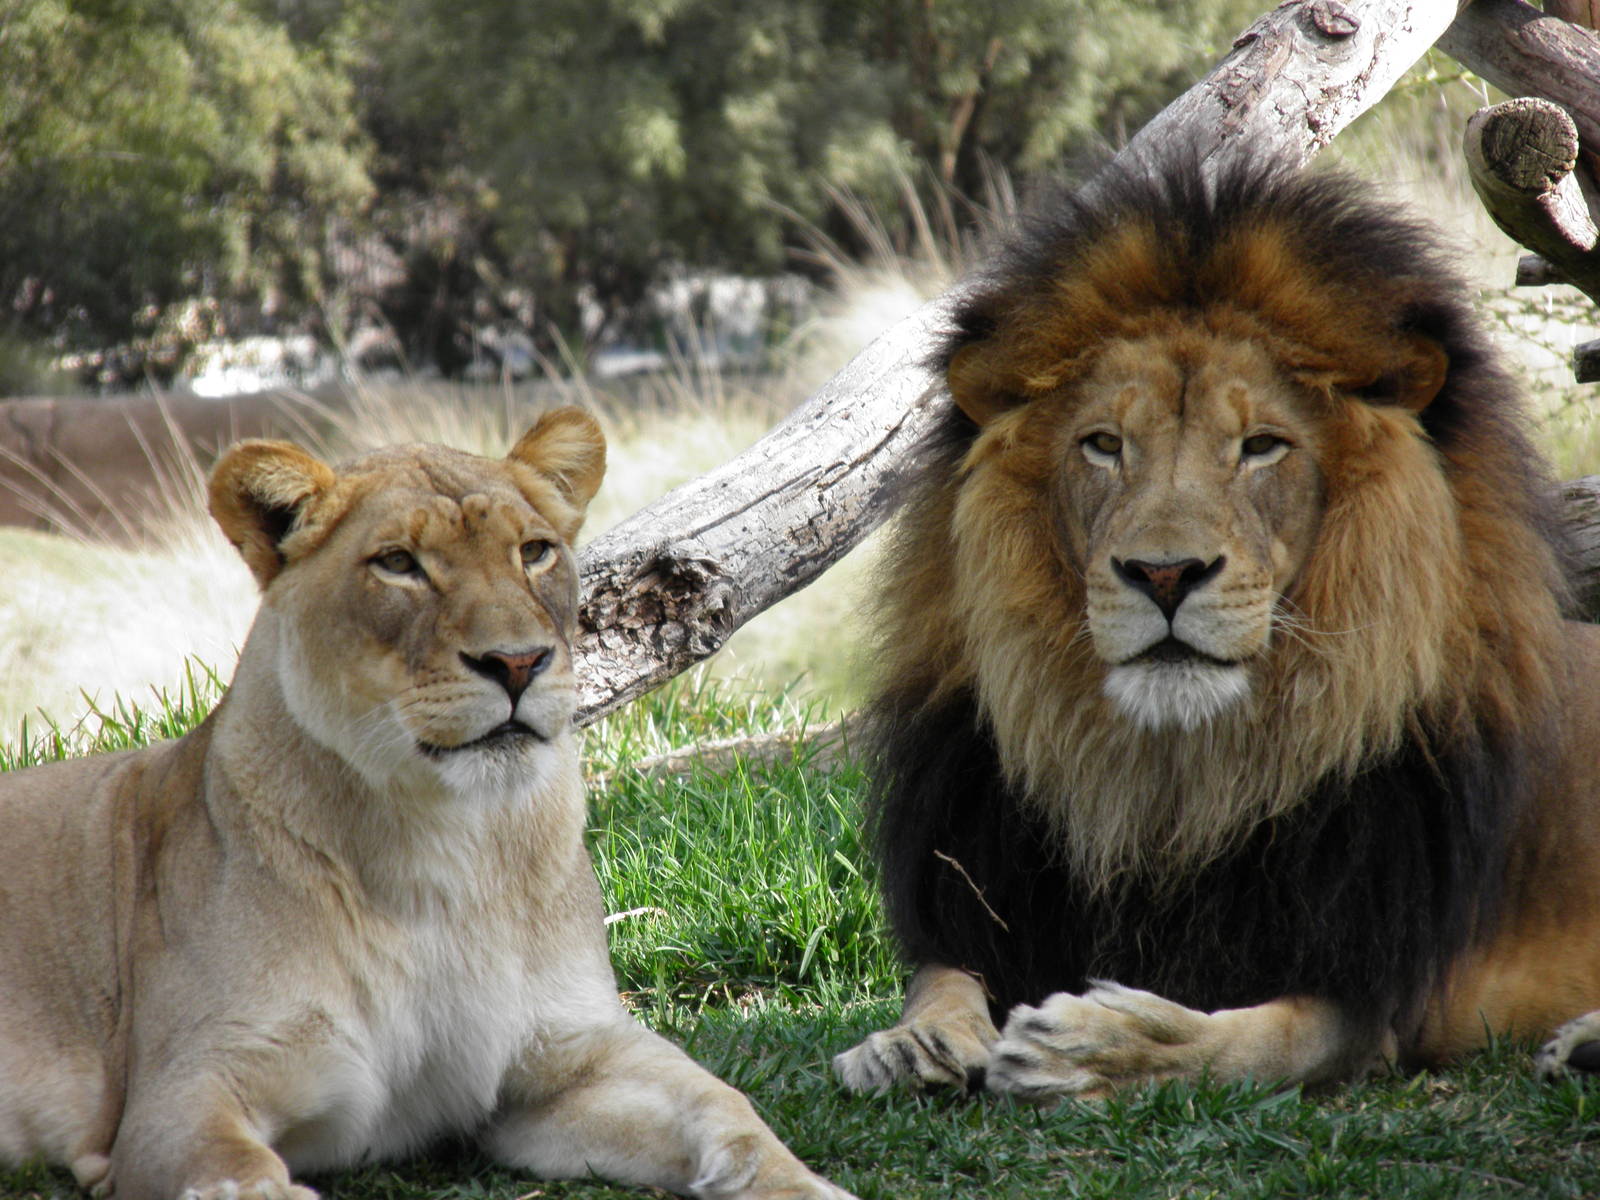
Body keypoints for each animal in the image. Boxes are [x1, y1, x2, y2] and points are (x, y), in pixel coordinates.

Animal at [0, 408, 853, 1200]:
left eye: (534, 551)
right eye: (398, 565)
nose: (518, 662)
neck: (449, 842)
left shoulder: (574, 1058)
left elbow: (728, 1110)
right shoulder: (182, 1091)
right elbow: (239, 1179)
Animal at [831, 154, 1600, 1101]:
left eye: (1263, 446)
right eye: (1103, 444)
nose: (1164, 574)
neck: (1178, 782)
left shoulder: (1374, 999)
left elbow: (1251, 1040)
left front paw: (1095, 1047)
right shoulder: (991, 898)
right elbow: (943, 975)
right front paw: (914, 1043)